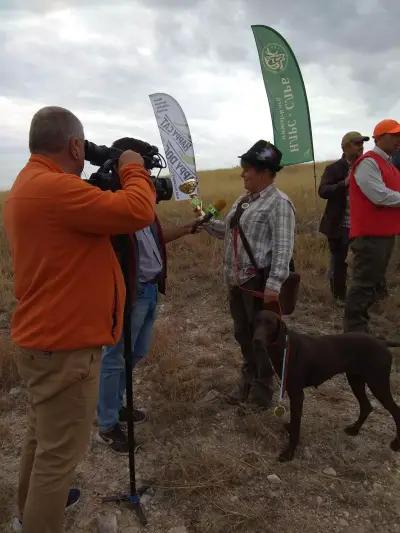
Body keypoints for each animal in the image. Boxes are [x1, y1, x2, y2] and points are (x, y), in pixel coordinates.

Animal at [253, 310, 400, 460]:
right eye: (256, 321)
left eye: (270, 324)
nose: (256, 340)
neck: (285, 346)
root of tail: (382, 342)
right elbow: (293, 424)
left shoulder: (297, 395)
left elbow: (295, 427)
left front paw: (289, 453)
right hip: (355, 380)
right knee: (366, 406)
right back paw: (354, 430)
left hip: (377, 384)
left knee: (395, 410)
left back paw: (396, 444)